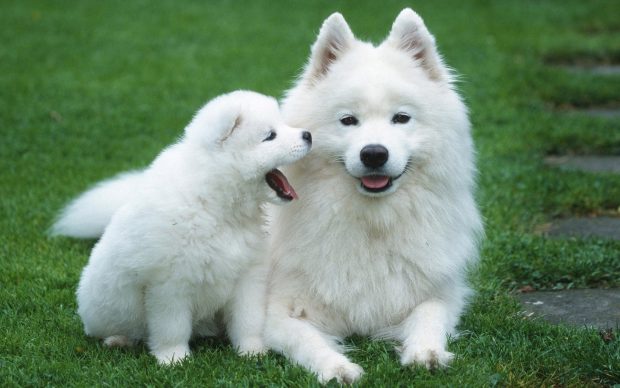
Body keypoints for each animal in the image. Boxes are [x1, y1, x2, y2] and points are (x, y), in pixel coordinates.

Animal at [51, 91, 312, 364]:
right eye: (270, 136)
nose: (308, 135)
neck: (216, 202)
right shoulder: (171, 283)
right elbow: (172, 326)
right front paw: (174, 358)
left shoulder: (247, 275)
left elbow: (248, 319)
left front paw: (252, 351)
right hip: (104, 304)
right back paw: (118, 340)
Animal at [262, 7, 484, 384]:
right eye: (348, 120)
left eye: (401, 118)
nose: (374, 154)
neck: (372, 223)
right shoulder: (276, 311)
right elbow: (305, 339)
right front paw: (336, 367)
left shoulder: (439, 293)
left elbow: (430, 315)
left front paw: (426, 352)